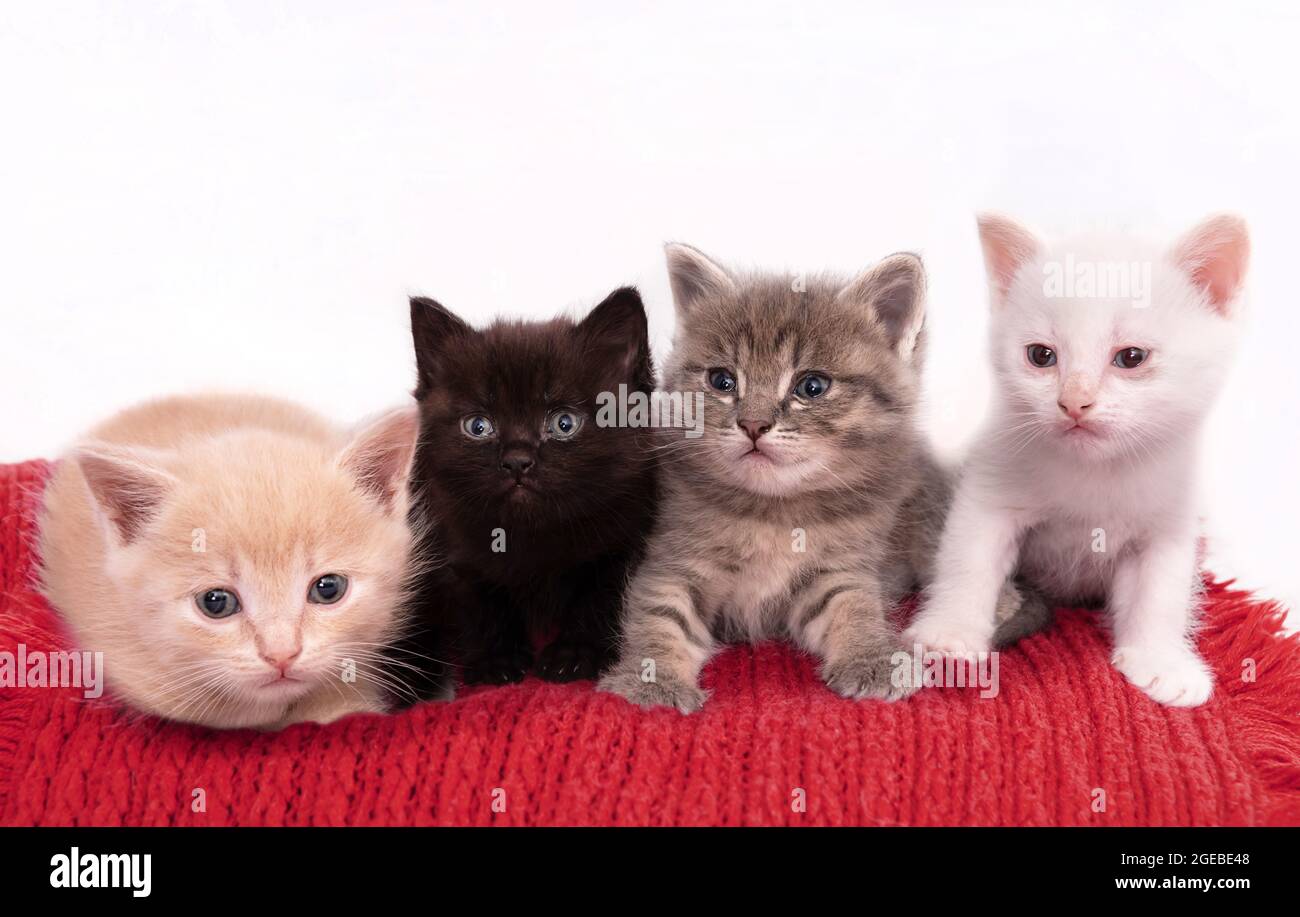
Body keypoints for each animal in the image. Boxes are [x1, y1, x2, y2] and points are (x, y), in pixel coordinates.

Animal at [395, 286, 660, 691]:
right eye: (478, 426)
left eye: (564, 423)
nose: (517, 460)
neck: (533, 532)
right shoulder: (450, 542)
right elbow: (477, 602)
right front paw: (496, 659)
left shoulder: (626, 542)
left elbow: (601, 598)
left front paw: (575, 654)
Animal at [595, 241, 951, 707]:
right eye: (722, 381)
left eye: (812, 387)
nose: (753, 424)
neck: (773, 512)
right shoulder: (673, 562)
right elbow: (659, 615)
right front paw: (651, 681)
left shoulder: (836, 569)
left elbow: (853, 604)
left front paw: (871, 657)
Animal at [904, 210, 1248, 702]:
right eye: (1040, 355)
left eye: (1131, 357)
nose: (1074, 402)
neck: (1095, 472)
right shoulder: (990, 491)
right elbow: (968, 558)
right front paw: (951, 632)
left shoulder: (1168, 523)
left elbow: (1161, 593)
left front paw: (1160, 661)